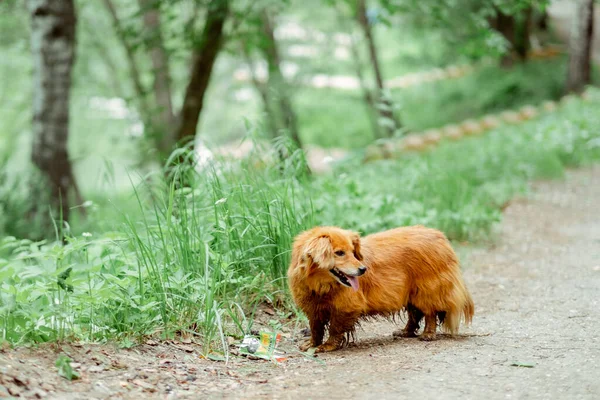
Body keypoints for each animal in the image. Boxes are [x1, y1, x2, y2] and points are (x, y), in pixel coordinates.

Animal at [288, 227, 476, 352]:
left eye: (353, 252)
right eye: (339, 253)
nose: (363, 269)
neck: (321, 286)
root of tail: (441, 237)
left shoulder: (345, 307)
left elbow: (335, 328)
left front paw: (328, 345)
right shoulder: (314, 309)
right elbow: (316, 328)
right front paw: (313, 343)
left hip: (426, 289)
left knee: (429, 313)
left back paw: (428, 334)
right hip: (409, 292)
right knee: (414, 314)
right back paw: (406, 332)